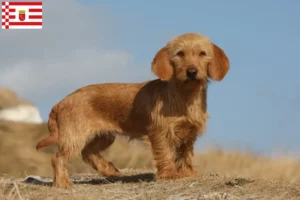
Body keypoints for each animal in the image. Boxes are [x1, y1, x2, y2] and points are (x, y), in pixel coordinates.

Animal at [37, 31, 230, 188]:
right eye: (180, 54)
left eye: (202, 54)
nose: (192, 71)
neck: (184, 95)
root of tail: (61, 101)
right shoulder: (160, 132)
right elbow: (165, 153)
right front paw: (169, 174)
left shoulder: (189, 133)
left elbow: (185, 154)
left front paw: (187, 172)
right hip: (75, 136)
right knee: (58, 157)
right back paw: (63, 183)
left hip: (104, 136)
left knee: (87, 152)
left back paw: (108, 170)